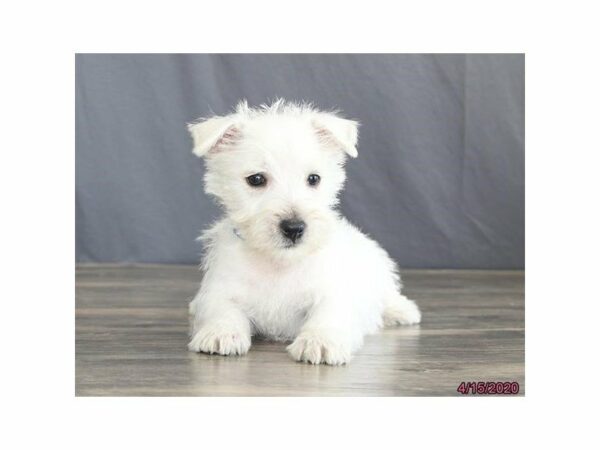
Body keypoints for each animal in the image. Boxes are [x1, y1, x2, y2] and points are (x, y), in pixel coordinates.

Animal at [188, 99, 422, 366]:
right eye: (256, 179)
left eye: (314, 178)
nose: (294, 228)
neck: (279, 264)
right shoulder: (221, 287)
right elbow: (221, 309)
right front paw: (220, 332)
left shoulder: (334, 290)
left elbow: (329, 313)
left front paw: (319, 341)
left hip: (376, 267)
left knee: (387, 293)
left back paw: (402, 310)